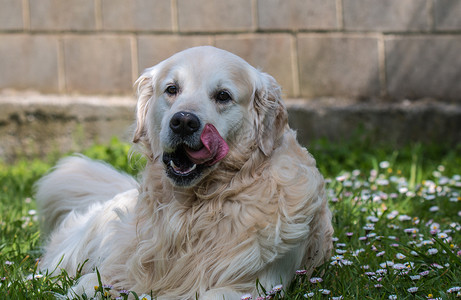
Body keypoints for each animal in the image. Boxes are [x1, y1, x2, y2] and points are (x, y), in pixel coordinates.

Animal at [35, 45, 330, 298]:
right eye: (172, 89)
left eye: (223, 95)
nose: (184, 122)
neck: (192, 209)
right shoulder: (118, 270)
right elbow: (87, 284)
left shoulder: (254, 285)